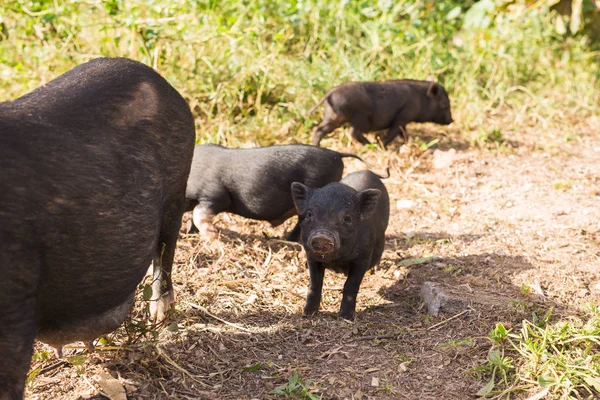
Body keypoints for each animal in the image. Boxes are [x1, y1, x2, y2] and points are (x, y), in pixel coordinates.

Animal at [290, 170, 390, 320]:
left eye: (347, 218)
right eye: (309, 214)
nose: (322, 236)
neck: (337, 260)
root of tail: (369, 171)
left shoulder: (363, 258)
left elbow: (351, 285)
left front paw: (346, 317)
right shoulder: (311, 256)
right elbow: (315, 283)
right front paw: (308, 313)